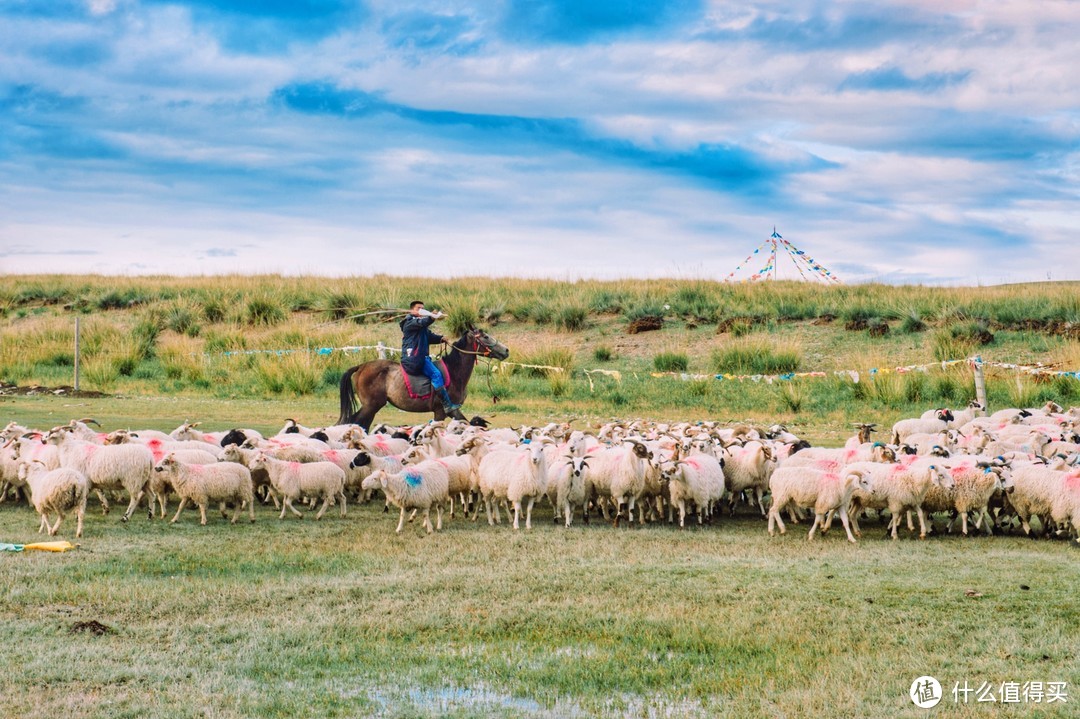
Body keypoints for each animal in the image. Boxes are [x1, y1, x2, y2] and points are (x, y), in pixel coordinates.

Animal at [336, 328, 509, 427]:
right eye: (485, 337)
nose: (506, 350)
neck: (454, 372)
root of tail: (361, 366)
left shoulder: (453, 411)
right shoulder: (440, 412)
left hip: (371, 407)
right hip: (370, 406)